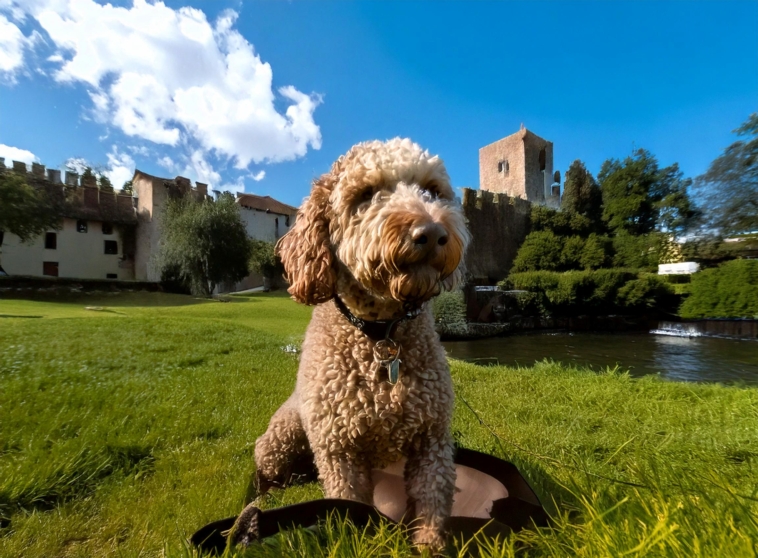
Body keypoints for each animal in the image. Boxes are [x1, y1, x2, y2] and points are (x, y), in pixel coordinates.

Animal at [252, 139, 472, 552]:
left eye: (433, 191)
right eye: (366, 194)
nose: (432, 231)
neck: (380, 333)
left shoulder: (432, 437)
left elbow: (432, 497)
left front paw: (430, 544)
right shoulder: (338, 448)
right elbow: (349, 501)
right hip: (281, 436)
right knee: (270, 468)